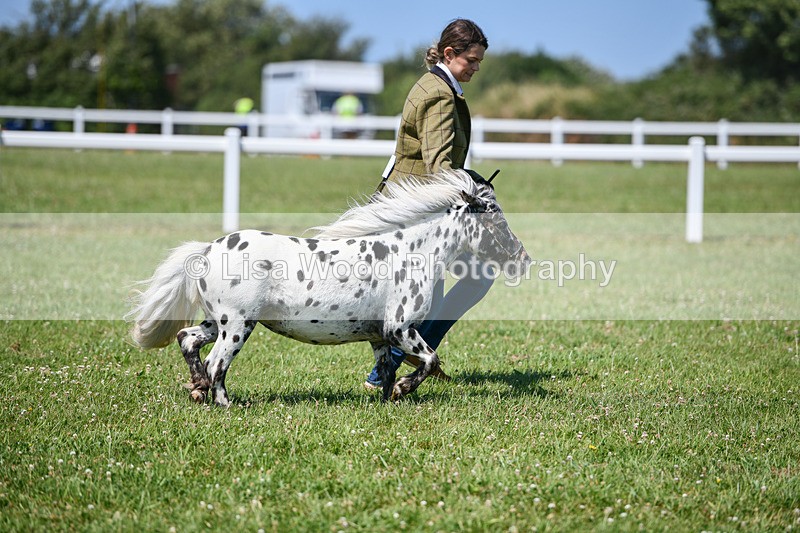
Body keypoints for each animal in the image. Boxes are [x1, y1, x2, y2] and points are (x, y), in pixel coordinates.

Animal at [127, 169, 530, 405]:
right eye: (497, 221)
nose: (522, 260)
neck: (410, 253)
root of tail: (209, 249)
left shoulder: (380, 335)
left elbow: (387, 371)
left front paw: (388, 400)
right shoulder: (399, 328)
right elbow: (429, 361)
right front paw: (404, 390)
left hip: (219, 322)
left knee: (188, 341)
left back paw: (196, 389)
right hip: (237, 326)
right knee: (216, 364)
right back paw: (227, 404)